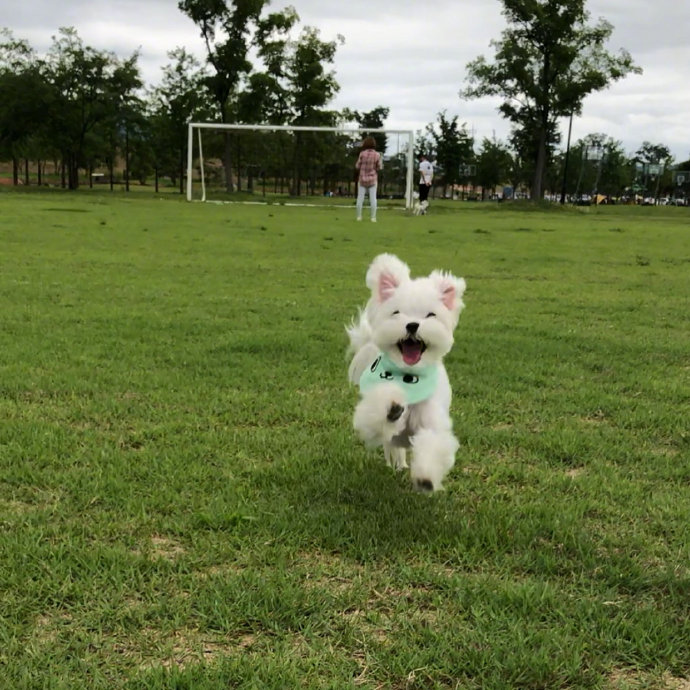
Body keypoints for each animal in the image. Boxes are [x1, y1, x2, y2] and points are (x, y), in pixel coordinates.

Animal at [346, 253, 464, 490]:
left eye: (430, 315)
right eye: (396, 312)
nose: (412, 325)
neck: (409, 376)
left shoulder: (432, 421)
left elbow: (433, 443)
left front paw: (426, 477)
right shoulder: (371, 418)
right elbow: (375, 416)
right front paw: (391, 407)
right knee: (393, 447)